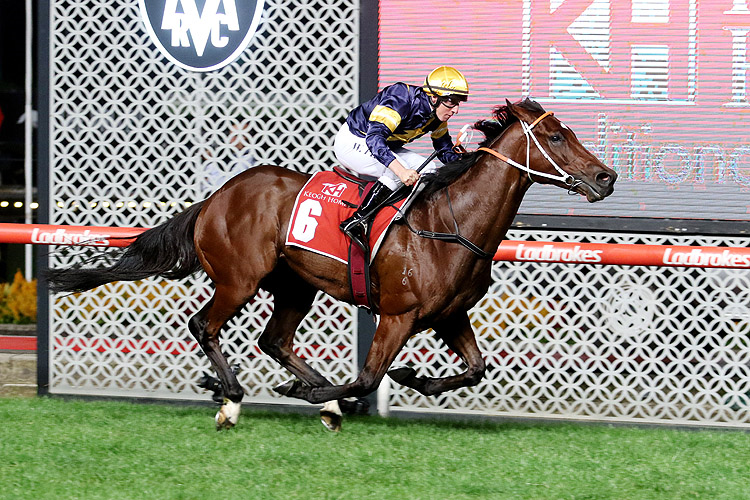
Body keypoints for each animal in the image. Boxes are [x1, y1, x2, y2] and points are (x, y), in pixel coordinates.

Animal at [50, 97, 620, 430]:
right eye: (555, 136)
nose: (607, 176)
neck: (451, 223)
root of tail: (216, 197)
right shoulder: (398, 315)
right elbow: (366, 379)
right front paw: (313, 391)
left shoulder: (449, 315)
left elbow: (476, 369)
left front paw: (407, 380)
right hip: (240, 279)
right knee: (203, 325)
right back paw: (231, 397)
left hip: (295, 285)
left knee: (274, 340)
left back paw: (301, 395)